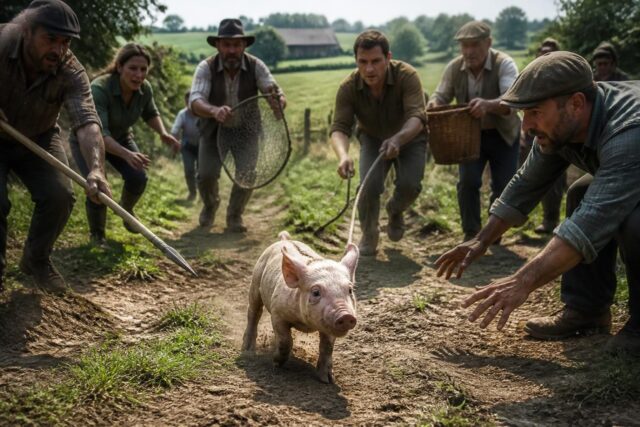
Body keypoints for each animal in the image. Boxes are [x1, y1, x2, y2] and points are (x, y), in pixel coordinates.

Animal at [241, 231, 359, 383]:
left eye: (350, 290)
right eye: (316, 292)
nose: (346, 315)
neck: (306, 324)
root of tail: (284, 240)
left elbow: (327, 347)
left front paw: (326, 380)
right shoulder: (277, 312)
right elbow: (285, 340)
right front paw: (276, 363)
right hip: (256, 280)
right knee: (254, 312)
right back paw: (247, 350)